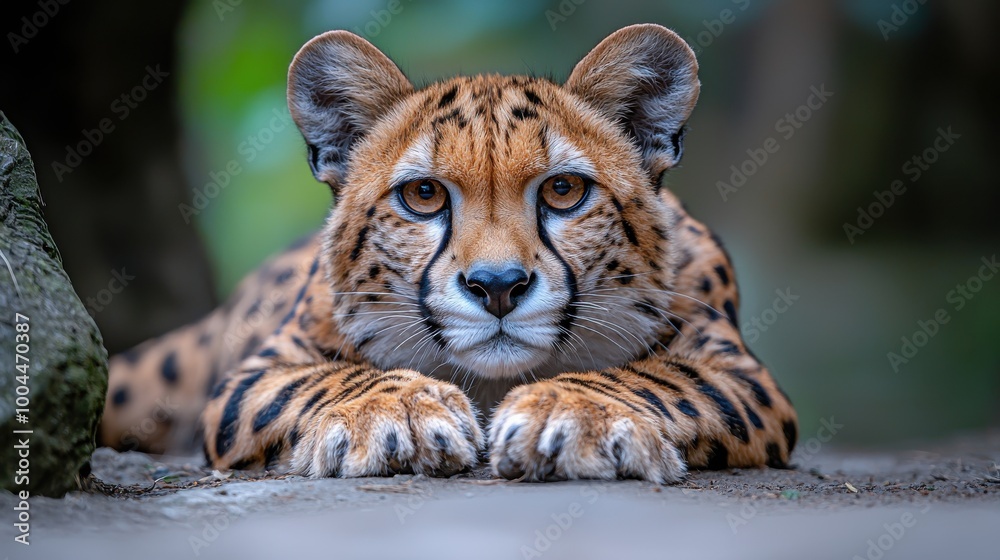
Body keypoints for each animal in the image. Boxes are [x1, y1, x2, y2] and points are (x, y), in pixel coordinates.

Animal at [98, 24, 798, 483]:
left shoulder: (741, 372)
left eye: (564, 191)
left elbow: (660, 376)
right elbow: (323, 377)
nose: (498, 286)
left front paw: (574, 410)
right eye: (424, 195)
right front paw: (395, 410)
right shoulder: (254, 372)